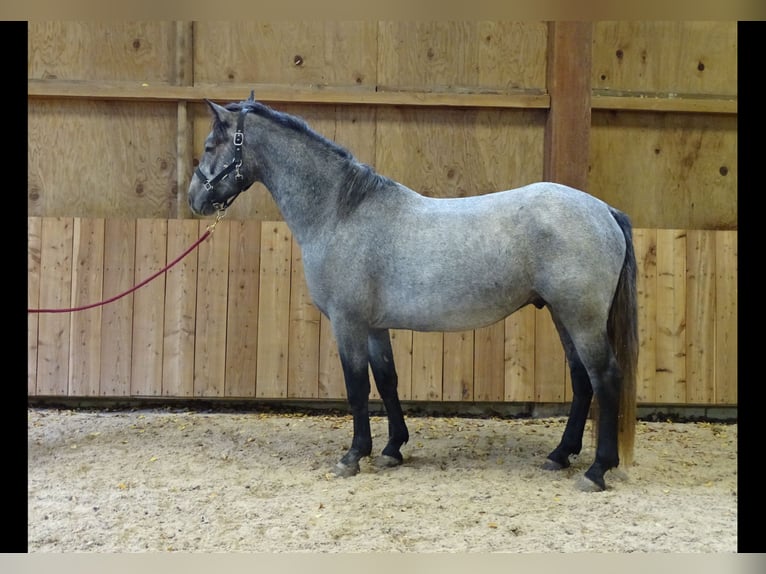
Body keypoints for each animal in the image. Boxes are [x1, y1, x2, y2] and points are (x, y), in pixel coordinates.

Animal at [188, 93, 638, 491]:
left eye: (210, 145)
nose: (194, 199)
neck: (341, 213)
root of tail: (604, 210)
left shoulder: (347, 323)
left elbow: (357, 387)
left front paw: (354, 455)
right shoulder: (373, 326)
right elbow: (387, 380)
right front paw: (392, 449)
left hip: (581, 317)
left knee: (605, 377)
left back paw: (597, 470)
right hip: (564, 315)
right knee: (582, 380)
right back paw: (560, 455)